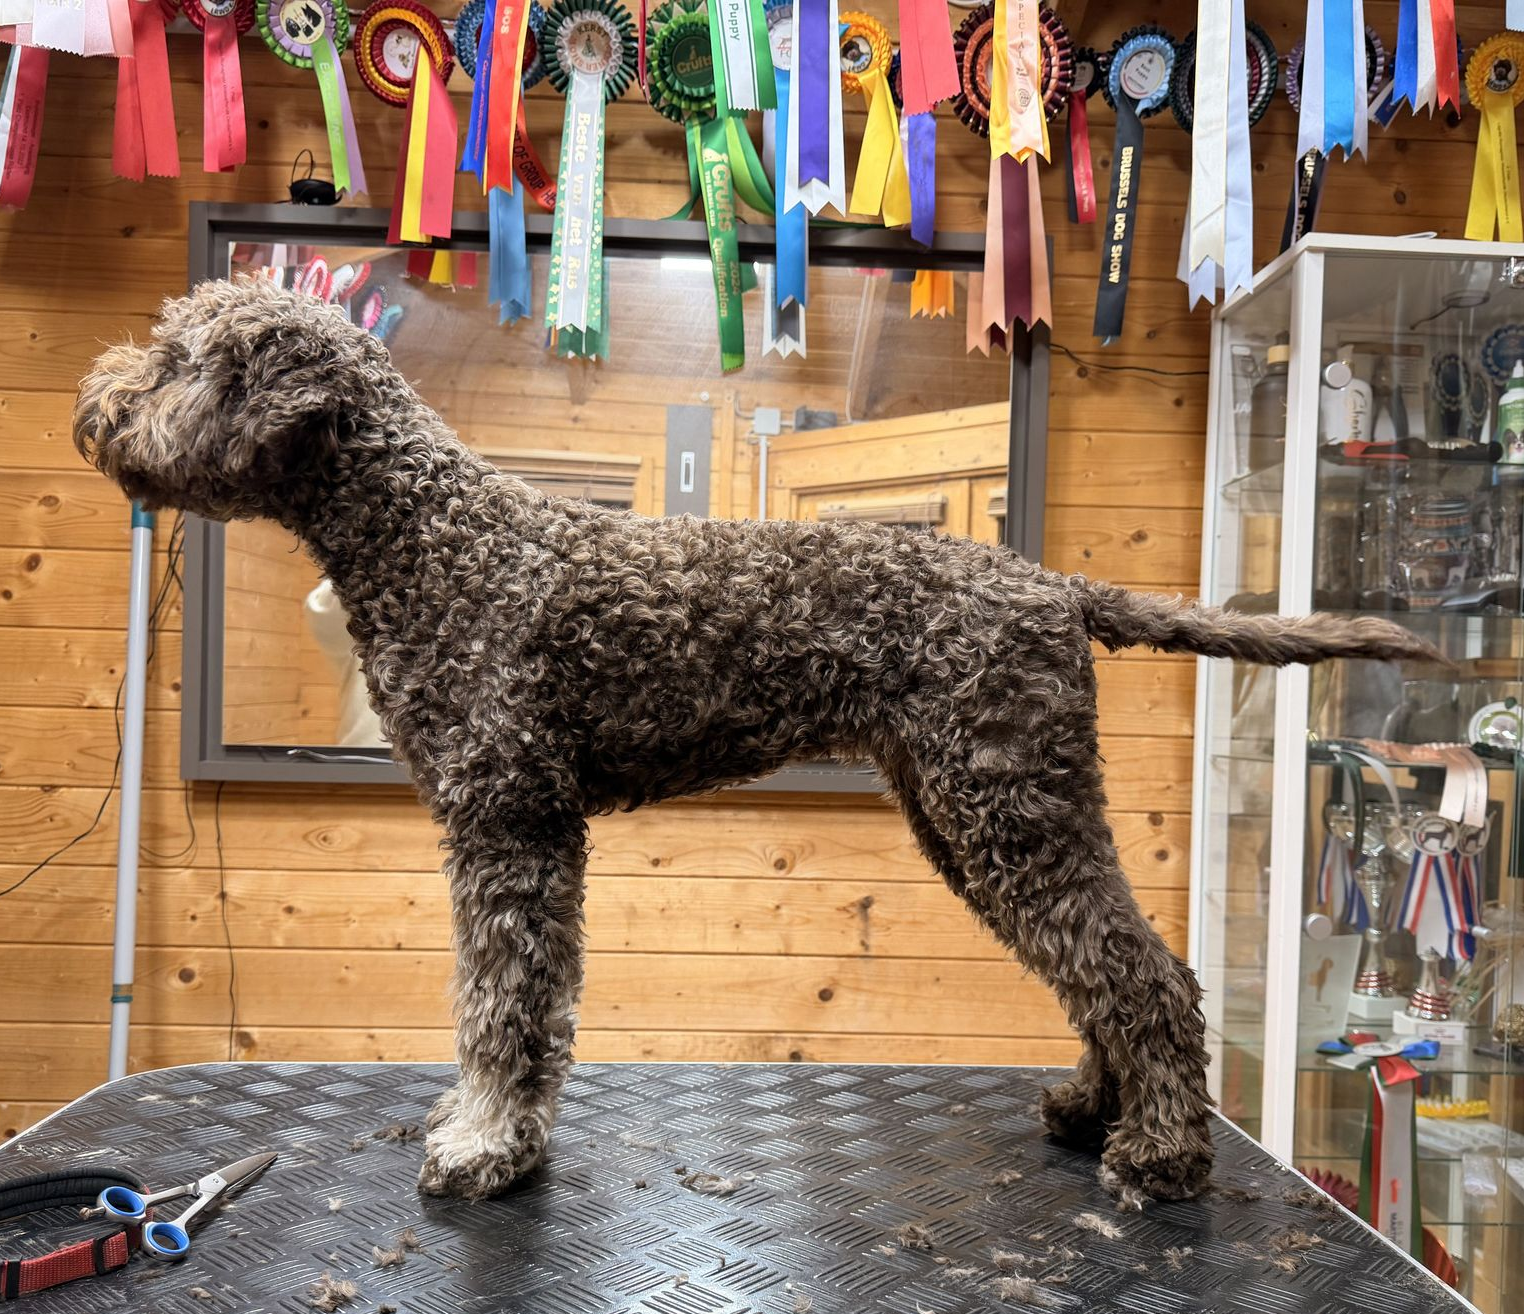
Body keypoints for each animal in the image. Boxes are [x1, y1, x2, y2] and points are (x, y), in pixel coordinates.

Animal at [74, 278, 1438, 1204]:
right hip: (982, 816)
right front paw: (490, 1132)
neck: (437, 539)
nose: (96, 407)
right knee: (1107, 964)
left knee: (1142, 973)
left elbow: (502, 1004)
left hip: (1006, 809)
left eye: (183, 358)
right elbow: (510, 1003)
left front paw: (484, 1144)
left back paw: (1159, 1155)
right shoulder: (515, 832)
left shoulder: (509, 826)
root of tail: (1052, 586)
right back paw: (1093, 1109)